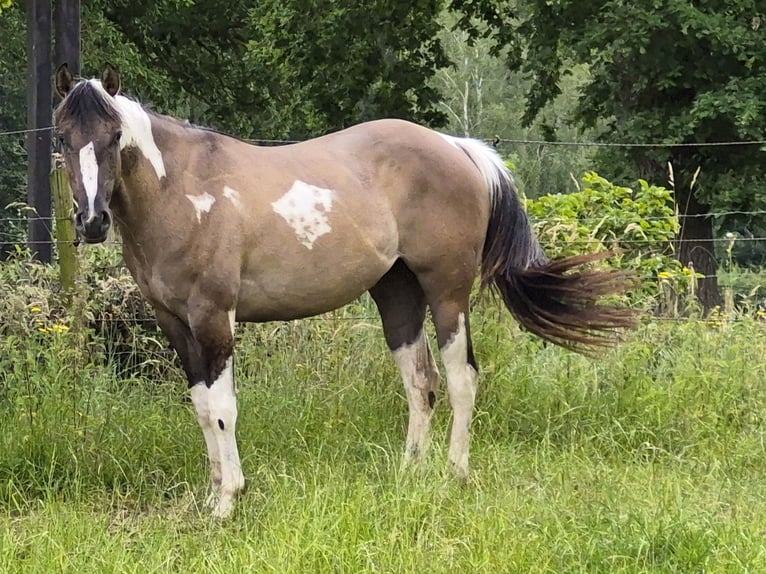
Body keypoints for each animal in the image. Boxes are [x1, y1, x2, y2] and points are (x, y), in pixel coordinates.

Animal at [53, 63, 635, 518]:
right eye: (62, 138)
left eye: (113, 137)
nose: (92, 222)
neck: (183, 190)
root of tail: (457, 148)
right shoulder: (175, 323)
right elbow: (200, 405)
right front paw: (212, 493)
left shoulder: (214, 318)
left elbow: (222, 408)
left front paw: (228, 502)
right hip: (397, 295)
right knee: (420, 382)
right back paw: (409, 473)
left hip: (447, 292)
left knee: (461, 377)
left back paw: (455, 473)